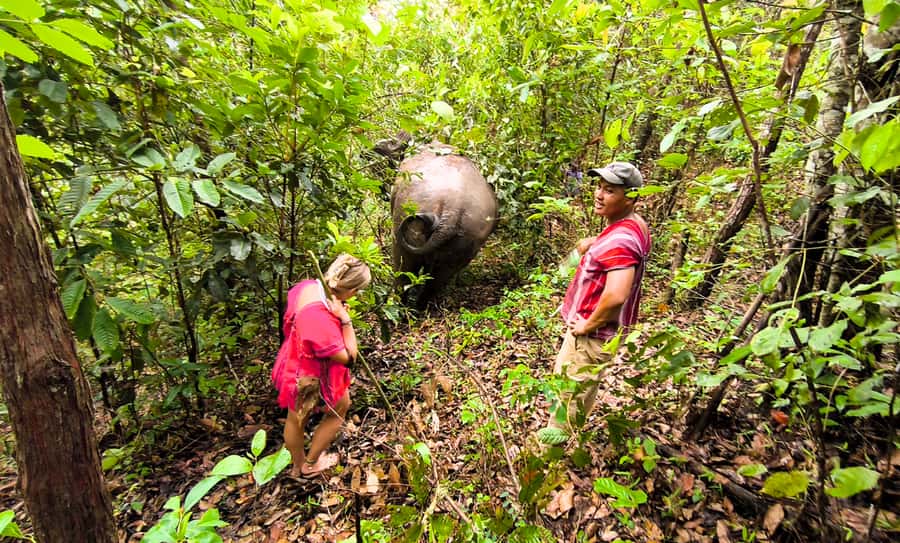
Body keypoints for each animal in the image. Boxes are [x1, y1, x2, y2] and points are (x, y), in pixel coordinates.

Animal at [391, 143, 498, 307]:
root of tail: (453, 208)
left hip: (408, 211)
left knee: (404, 266)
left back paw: (399, 307)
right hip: (467, 238)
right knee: (439, 278)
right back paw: (420, 308)